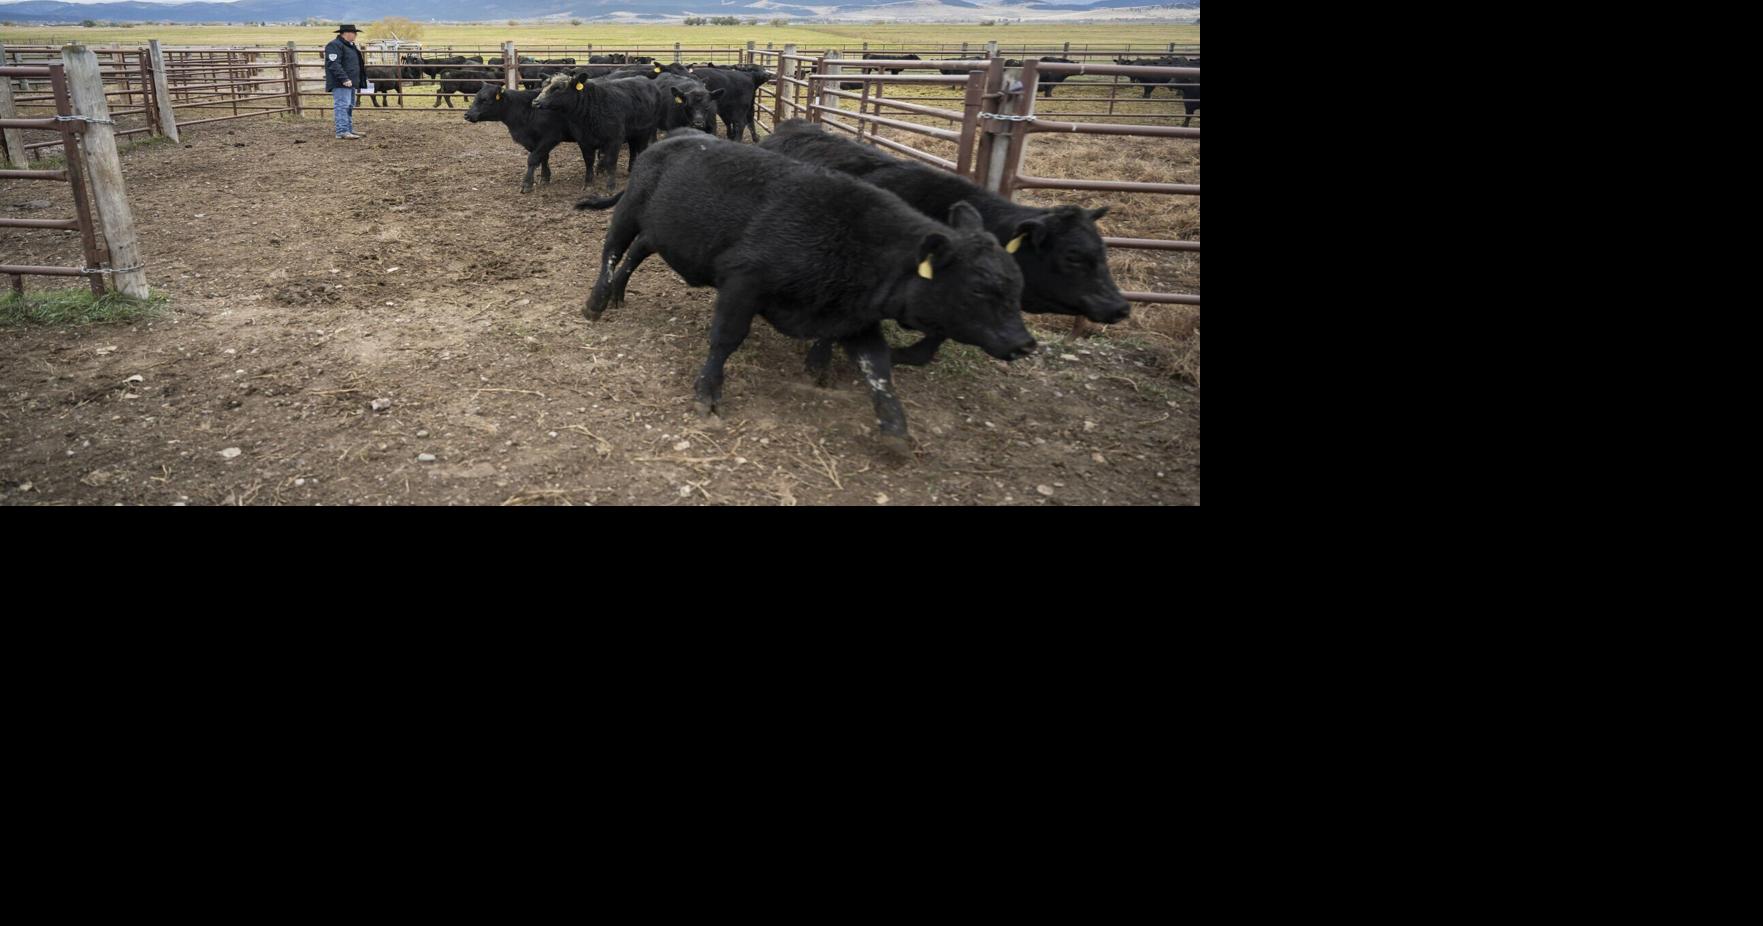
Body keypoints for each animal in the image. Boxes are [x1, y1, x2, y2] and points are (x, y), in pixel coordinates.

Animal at [463, 85, 591, 194]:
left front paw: (527, 184)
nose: (467, 115)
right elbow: (543, 157)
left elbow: (532, 159)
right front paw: (545, 177)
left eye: (485, 100)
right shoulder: (533, 142)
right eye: (476, 97)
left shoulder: (550, 137)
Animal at [531, 72, 664, 189]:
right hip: (633, 133)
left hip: (646, 131)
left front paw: (610, 186)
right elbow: (589, 161)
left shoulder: (615, 139)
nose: (535, 102)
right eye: (543, 86)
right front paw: (588, 184)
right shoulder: (583, 141)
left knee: (641, 149)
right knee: (633, 149)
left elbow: (611, 161)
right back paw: (631, 169)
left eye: (558, 88)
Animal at [574, 132, 1034, 452]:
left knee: (635, 251)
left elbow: (878, 370)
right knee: (612, 249)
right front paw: (707, 394)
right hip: (627, 212)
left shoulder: (856, 320)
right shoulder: (743, 281)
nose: (1025, 342)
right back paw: (596, 303)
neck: (851, 242)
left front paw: (895, 433)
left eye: (1017, 281)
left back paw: (616, 295)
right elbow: (725, 339)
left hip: (660, 231)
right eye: (979, 288)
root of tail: (669, 139)